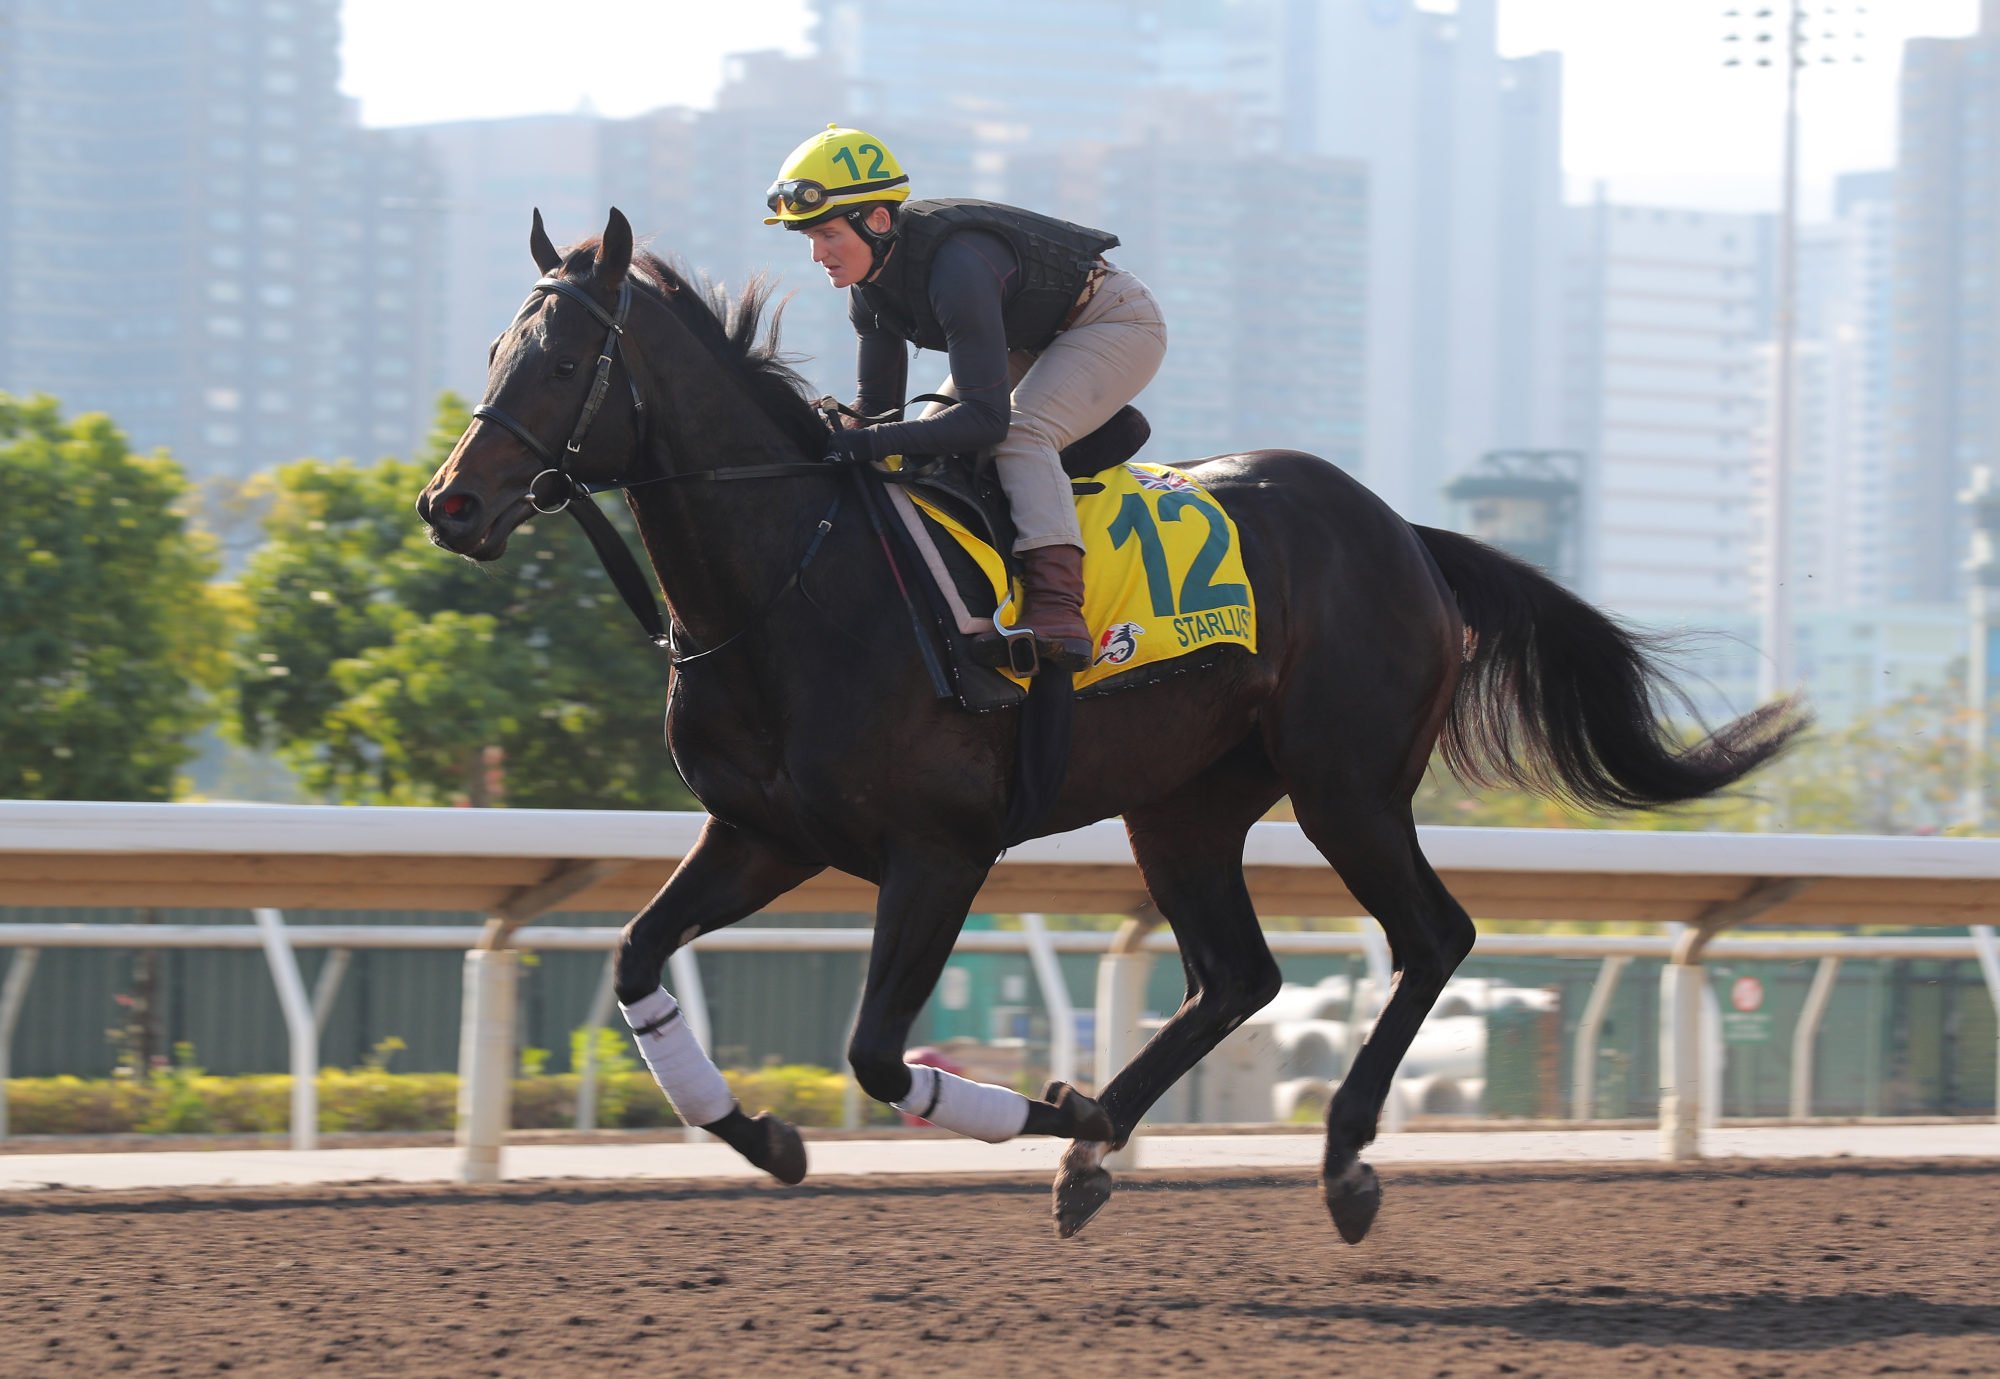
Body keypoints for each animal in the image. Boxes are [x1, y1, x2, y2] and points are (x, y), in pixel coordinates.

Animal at [414, 209, 1808, 1239]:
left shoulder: (941, 849)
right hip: (1183, 804)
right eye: (489, 351)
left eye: (556, 363)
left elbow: (877, 1055)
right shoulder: (762, 832)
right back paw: (1098, 1150)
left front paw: (1039, 1110)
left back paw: (1333, 1160)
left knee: (1430, 935)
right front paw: (762, 1131)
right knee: (1238, 975)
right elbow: (636, 958)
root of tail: (1403, 532)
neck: (794, 580)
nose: (451, 502)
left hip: (1345, 781)